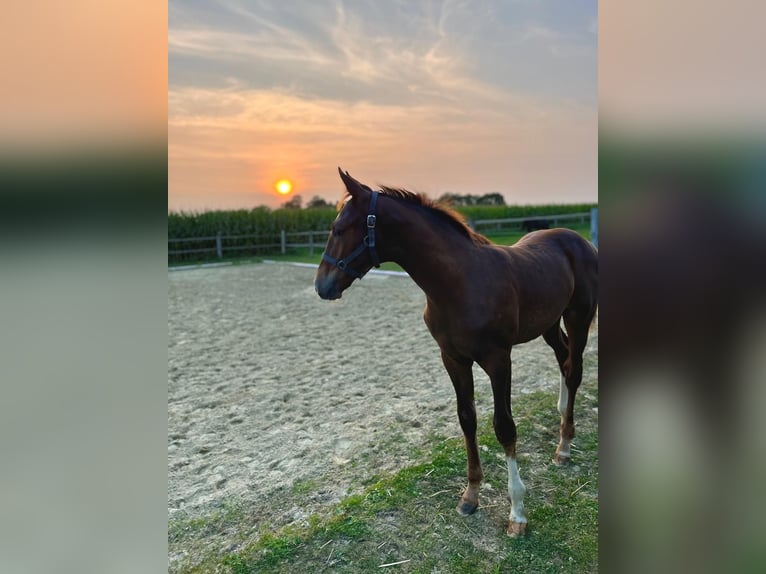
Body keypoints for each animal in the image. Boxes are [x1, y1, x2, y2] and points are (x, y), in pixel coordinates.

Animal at [314, 169, 600, 536]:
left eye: (338, 229)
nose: (323, 286)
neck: (459, 283)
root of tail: (579, 240)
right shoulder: (453, 359)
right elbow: (467, 419)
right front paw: (470, 496)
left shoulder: (498, 360)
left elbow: (504, 426)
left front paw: (517, 513)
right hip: (549, 323)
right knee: (563, 361)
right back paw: (562, 417)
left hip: (579, 318)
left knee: (574, 369)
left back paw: (563, 447)